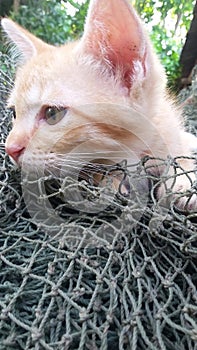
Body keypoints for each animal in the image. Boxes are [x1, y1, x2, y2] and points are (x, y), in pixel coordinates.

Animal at [1, 0, 197, 211]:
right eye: (14, 113)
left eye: (53, 113)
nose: (10, 149)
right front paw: (110, 179)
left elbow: (180, 157)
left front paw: (182, 183)